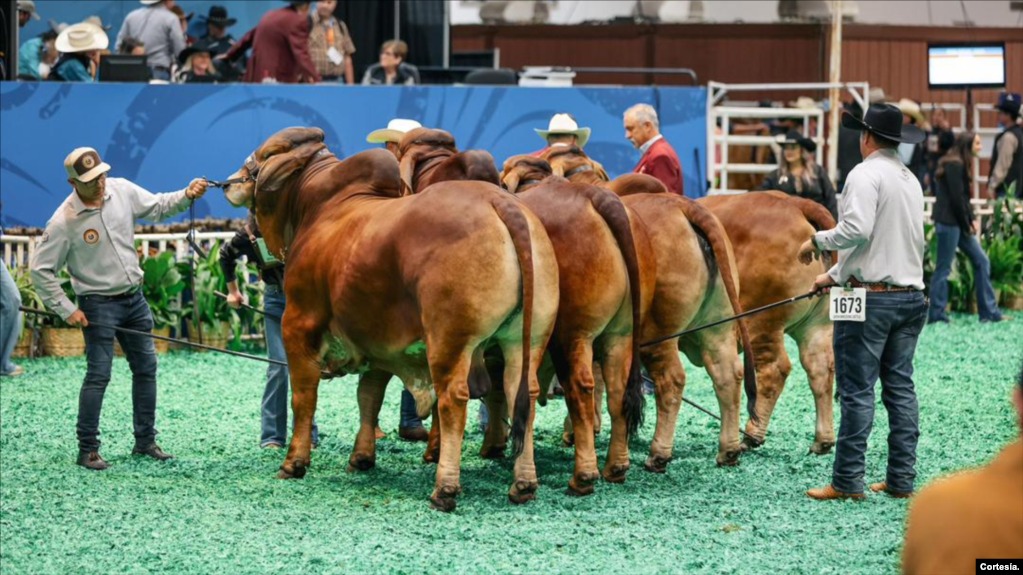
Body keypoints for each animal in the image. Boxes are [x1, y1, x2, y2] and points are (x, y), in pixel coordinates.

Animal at [221, 127, 560, 507]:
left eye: (263, 155)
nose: (229, 182)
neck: (317, 207)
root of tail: (501, 202)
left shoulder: (299, 324)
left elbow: (304, 398)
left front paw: (294, 462)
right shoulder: (376, 339)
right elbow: (369, 396)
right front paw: (361, 457)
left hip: (450, 342)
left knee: (453, 400)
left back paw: (444, 488)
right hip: (525, 338)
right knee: (522, 393)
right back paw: (524, 483)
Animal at [499, 154, 650, 491]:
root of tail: (596, 196)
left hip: (573, 334)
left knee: (580, 387)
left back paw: (583, 475)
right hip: (621, 332)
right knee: (617, 389)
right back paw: (615, 466)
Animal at [699, 192, 834, 452]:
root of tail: (795, 202)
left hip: (759, 321)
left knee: (774, 369)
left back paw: (751, 434)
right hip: (817, 322)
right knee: (820, 366)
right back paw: (822, 441)